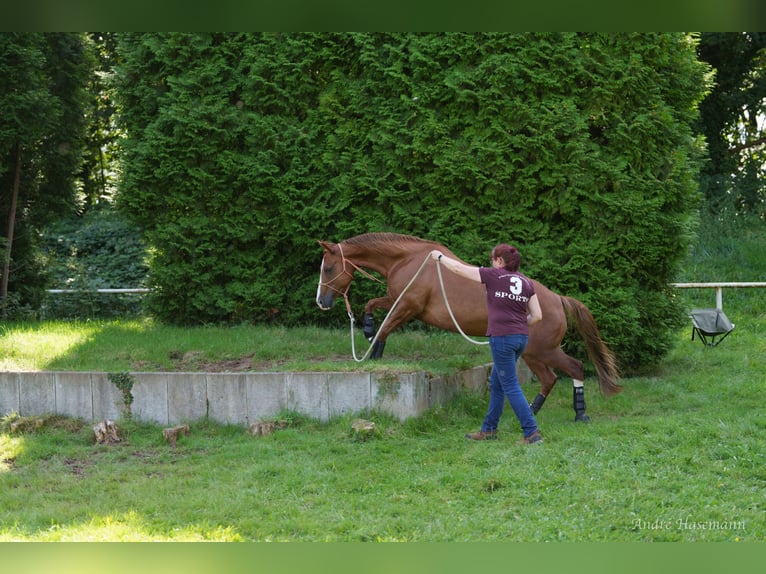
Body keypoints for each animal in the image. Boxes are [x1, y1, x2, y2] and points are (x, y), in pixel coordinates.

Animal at [316, 233, 620, 424]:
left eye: (328, 268)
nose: (321, 301)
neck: (409, 260)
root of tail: (557, 299)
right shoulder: (396, 300)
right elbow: (372, 306)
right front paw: (368, 331)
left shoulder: (407, 306)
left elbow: (385, 328)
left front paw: (373, 352)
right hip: (536, 353)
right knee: (551, 378)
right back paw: (534, 411)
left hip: (540, 351)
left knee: (572, 369)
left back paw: (578, 414)